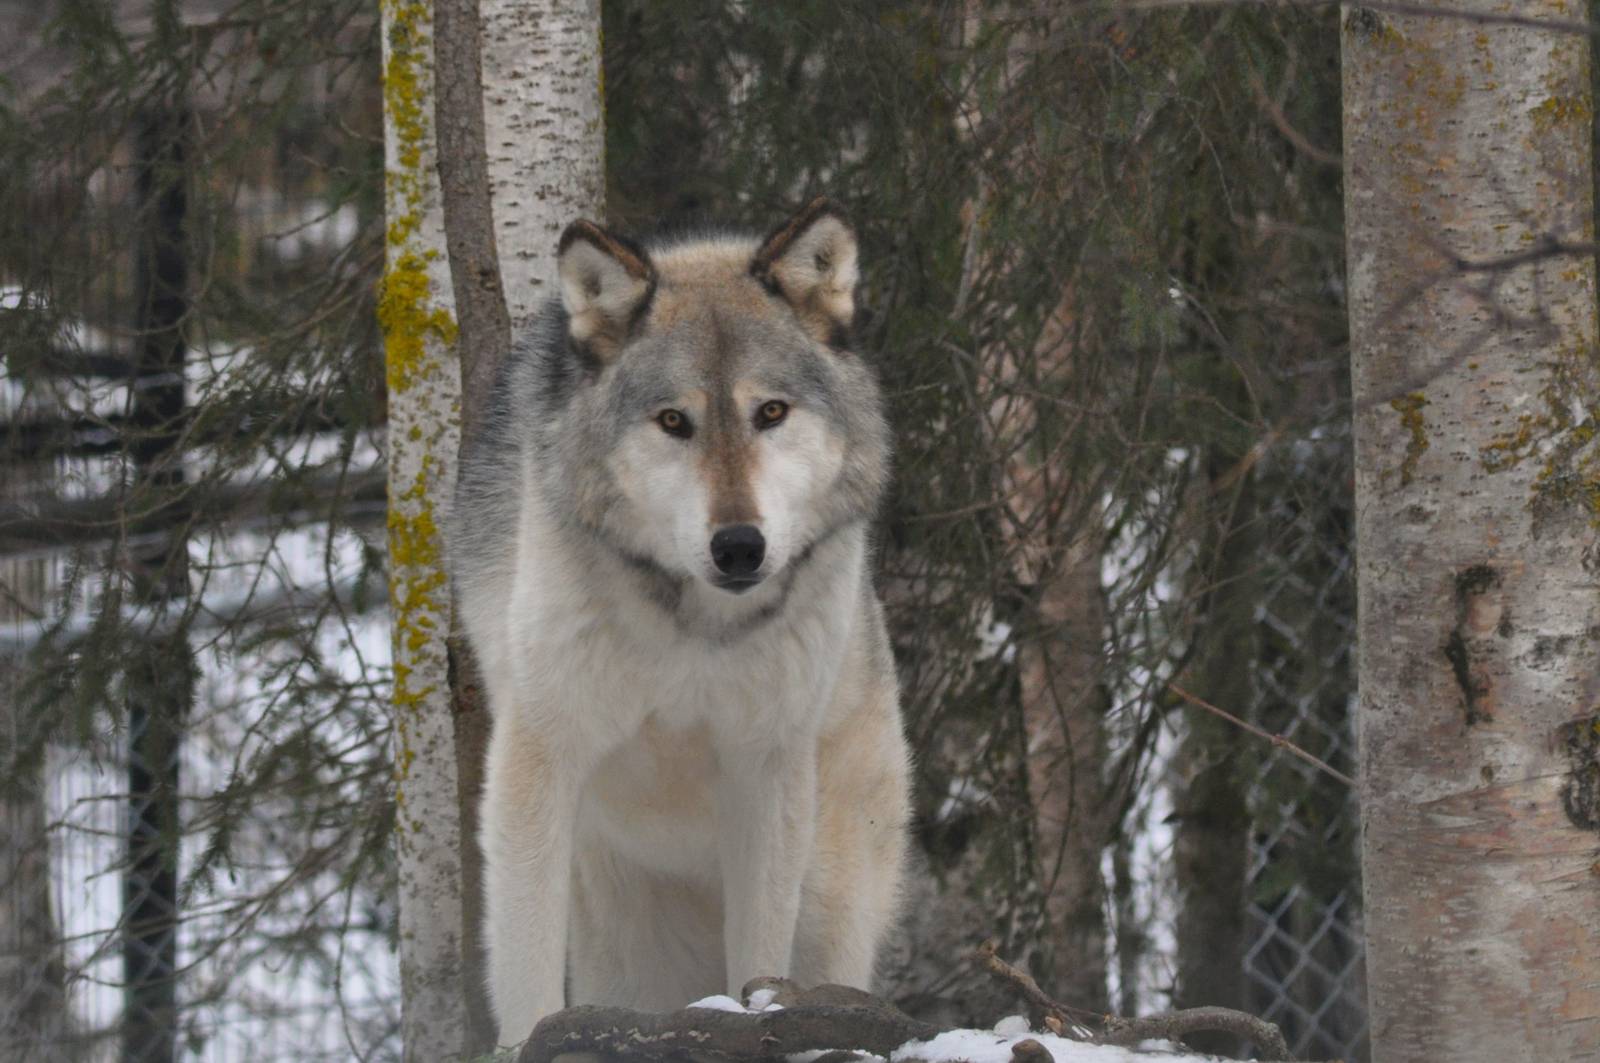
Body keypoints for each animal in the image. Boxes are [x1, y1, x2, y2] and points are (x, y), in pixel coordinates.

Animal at [450, 197, 913, 1046]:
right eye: (674, 420)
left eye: (771, 412)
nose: (739, 546)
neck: (696, 626)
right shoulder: (539, 759)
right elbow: (525, 962)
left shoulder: (766, 771)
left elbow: (760, 950)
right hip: (620, 930)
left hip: (830, 883)